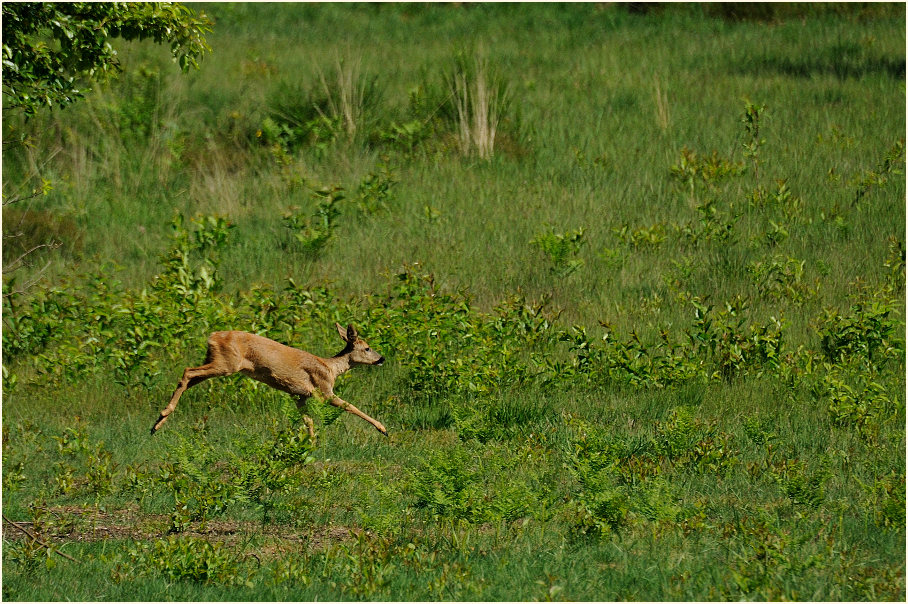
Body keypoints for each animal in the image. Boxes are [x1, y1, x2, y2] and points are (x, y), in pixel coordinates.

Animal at [148, 324, 386, 436]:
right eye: (367, 348)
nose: (382, 358)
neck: (331, 368)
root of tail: (212, 336)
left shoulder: (299, 395)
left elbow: (308, 420)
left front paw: (310, 444)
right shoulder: (323, 389)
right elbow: (349, 406)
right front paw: (382, 428)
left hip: (216, 361)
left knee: (189, 378)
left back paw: (157, 424)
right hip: (226, 364)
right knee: (188, 371)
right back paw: (162, 415)